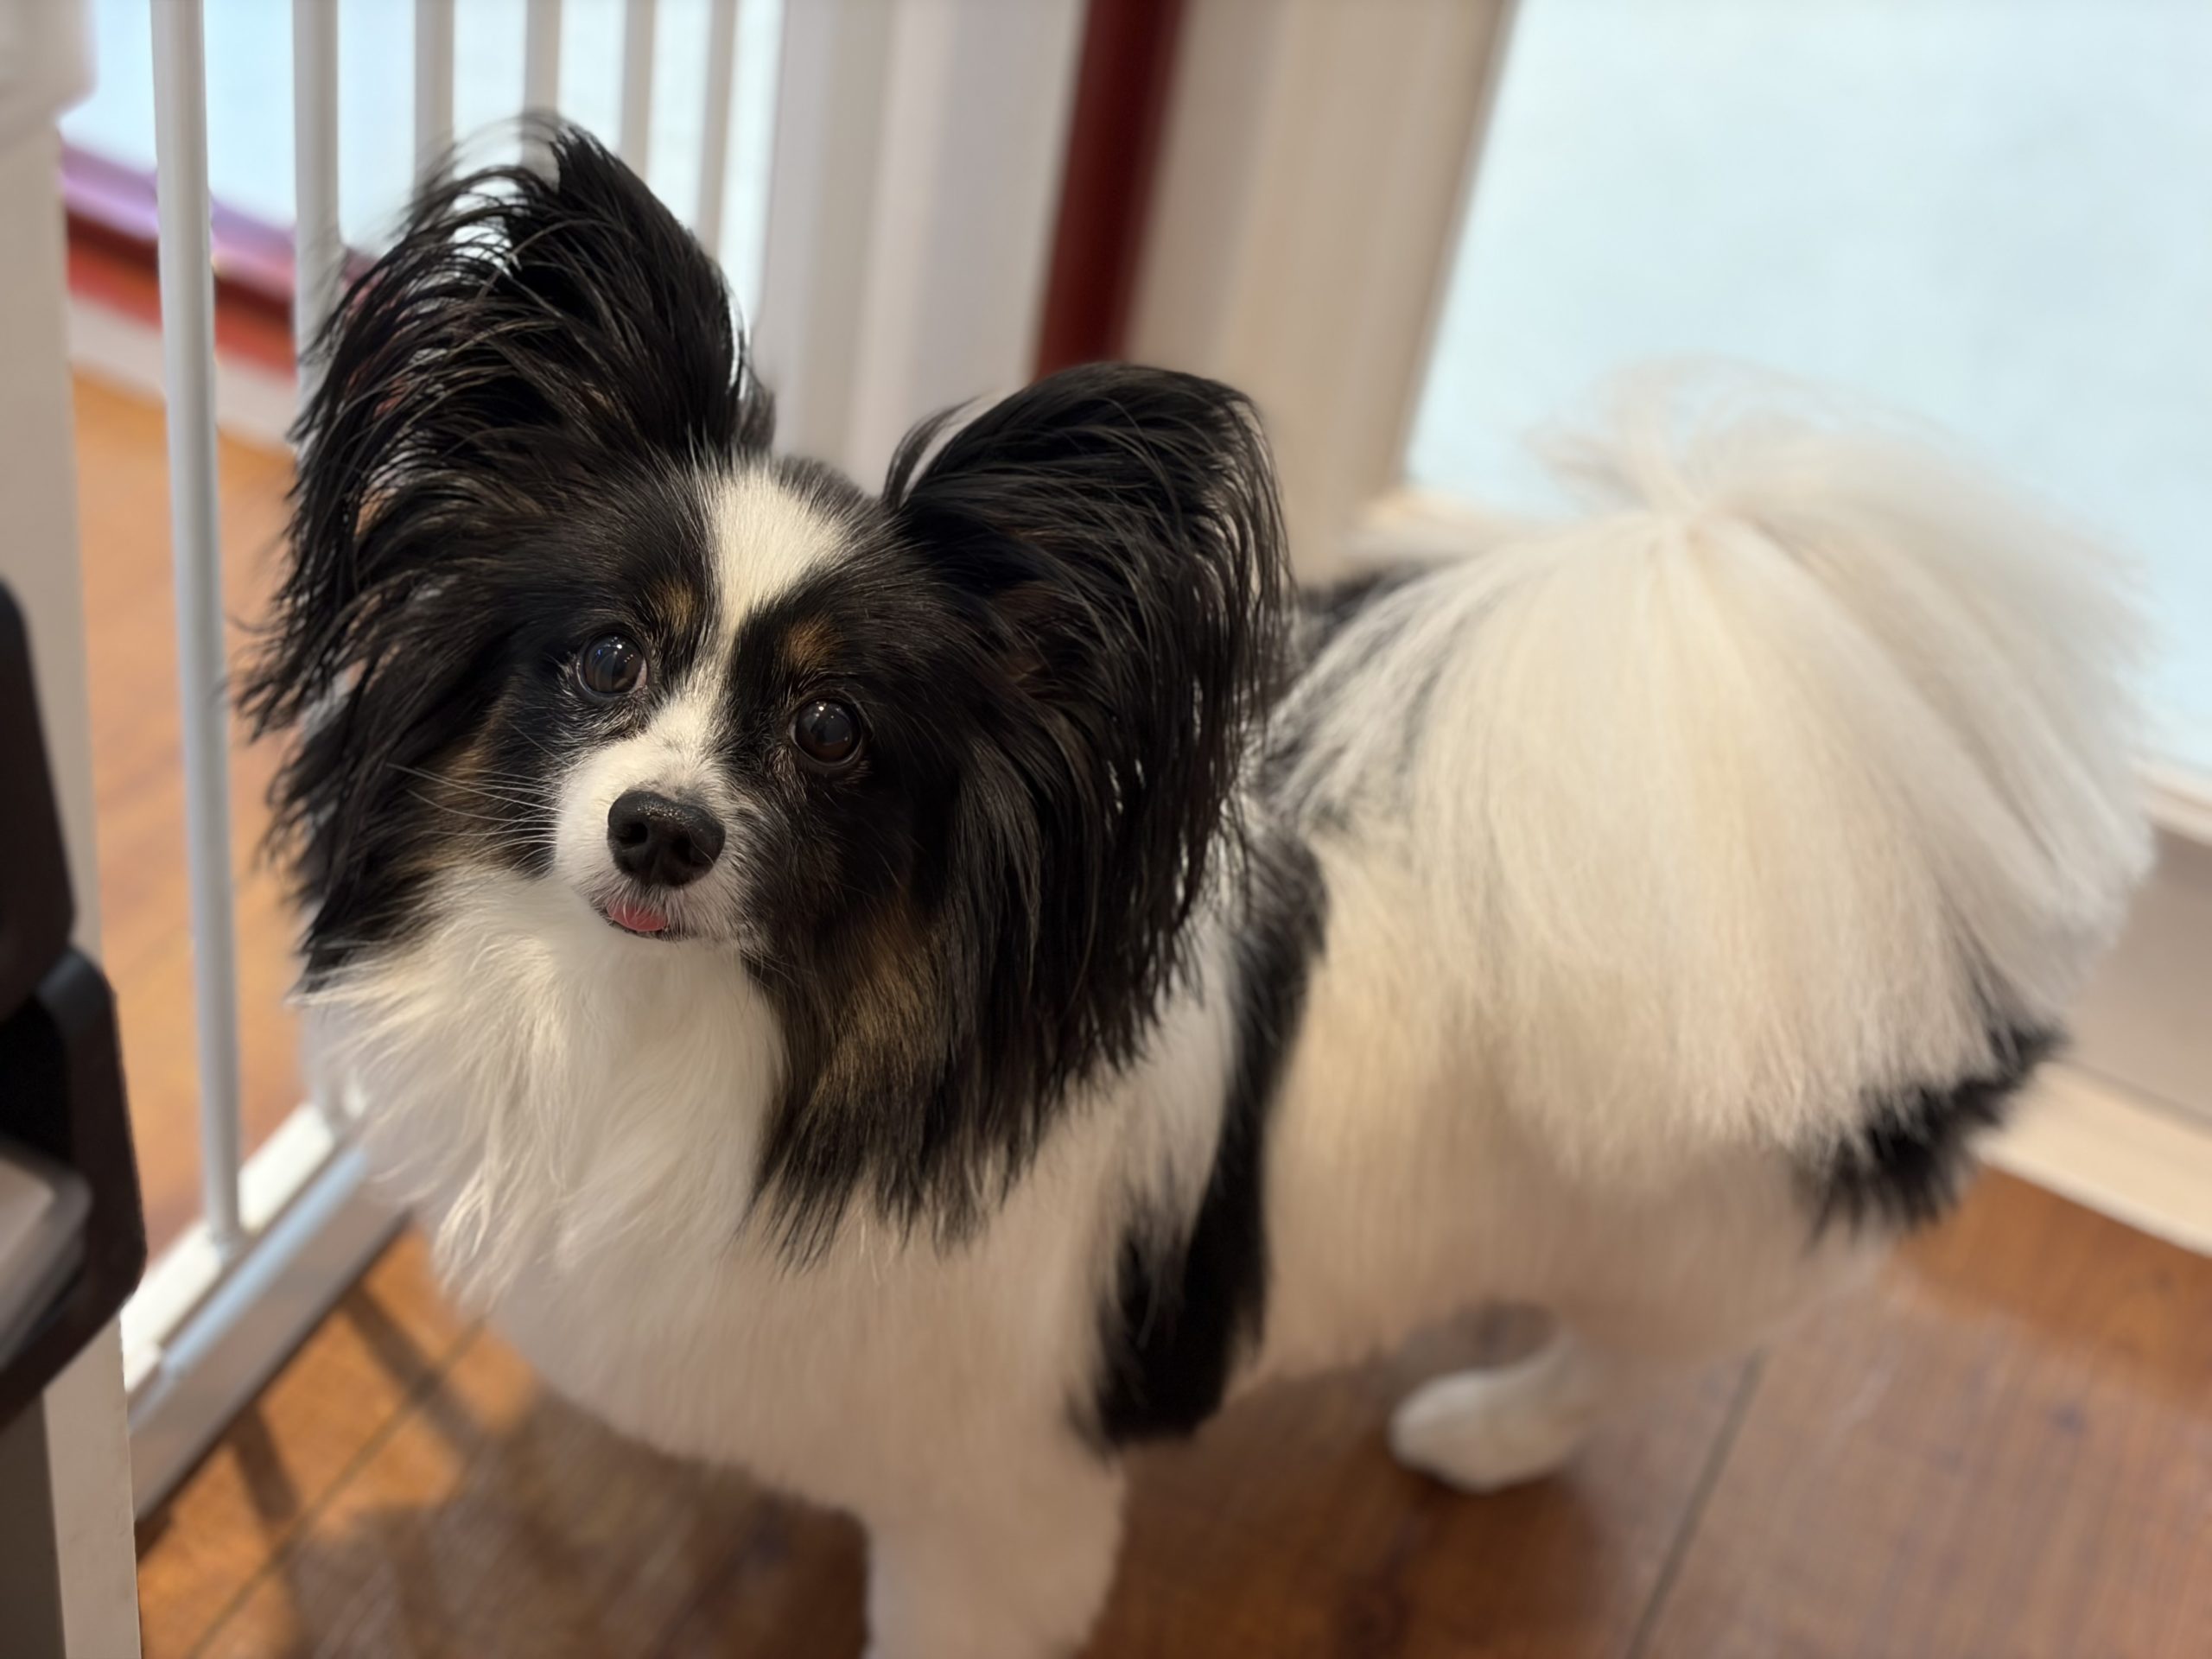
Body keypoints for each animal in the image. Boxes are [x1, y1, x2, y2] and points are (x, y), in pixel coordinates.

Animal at [246, 129, 2148, 1658]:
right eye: (606, 660)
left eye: (833, 734)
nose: (656, 830)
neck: (723, 1032)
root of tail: (1896, 785)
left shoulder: (996, 1503)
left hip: (1699, 1229)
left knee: (1626, 1356)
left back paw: (1479, 1427)